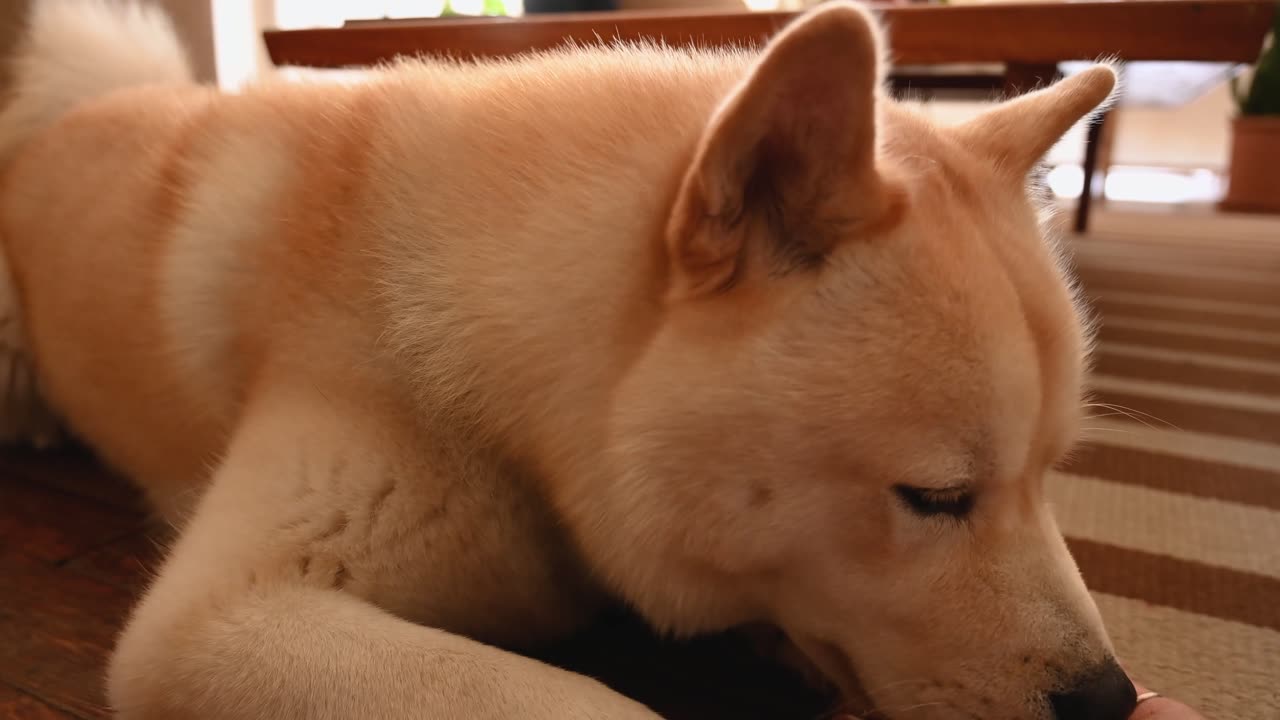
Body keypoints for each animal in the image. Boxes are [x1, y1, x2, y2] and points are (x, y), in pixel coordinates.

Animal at [0, 1, 1131, 717]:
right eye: (934, 497)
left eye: (1048, 475)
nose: (1109, 701)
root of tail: (64, 112)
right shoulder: (216, 619)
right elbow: (582, 701)